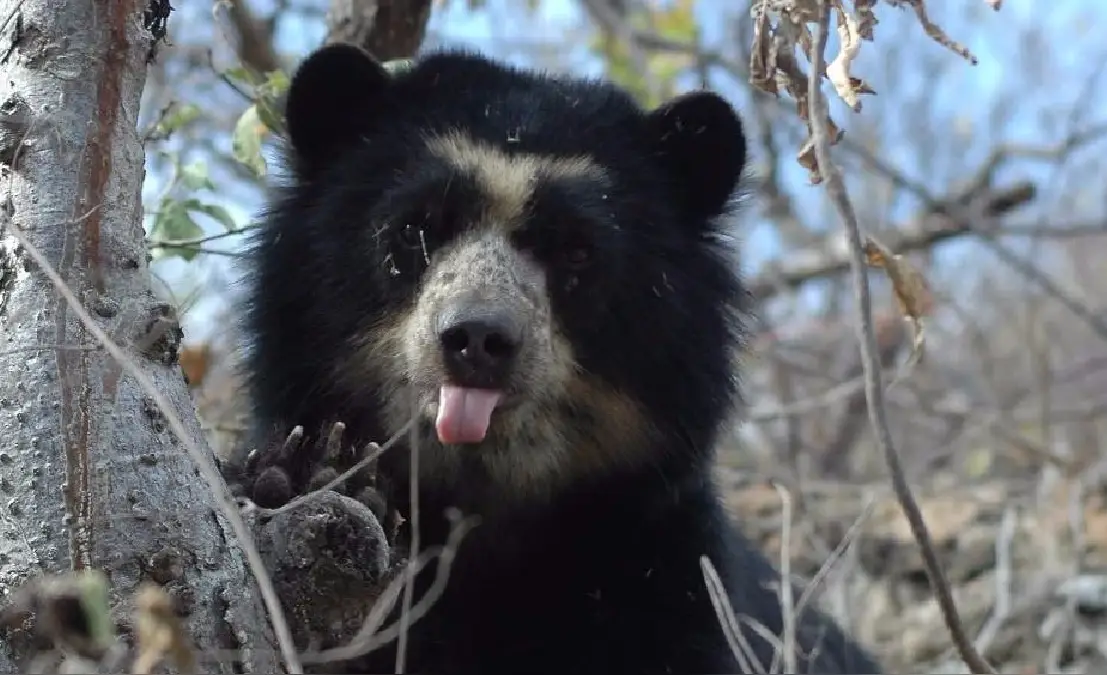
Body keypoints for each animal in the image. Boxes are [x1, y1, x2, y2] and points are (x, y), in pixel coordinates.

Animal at [231, 42, 883, 675]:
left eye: (576, 251)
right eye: (414, 230)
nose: (477, 339)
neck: (482, 513)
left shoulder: (662, 580)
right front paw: (310, 473)